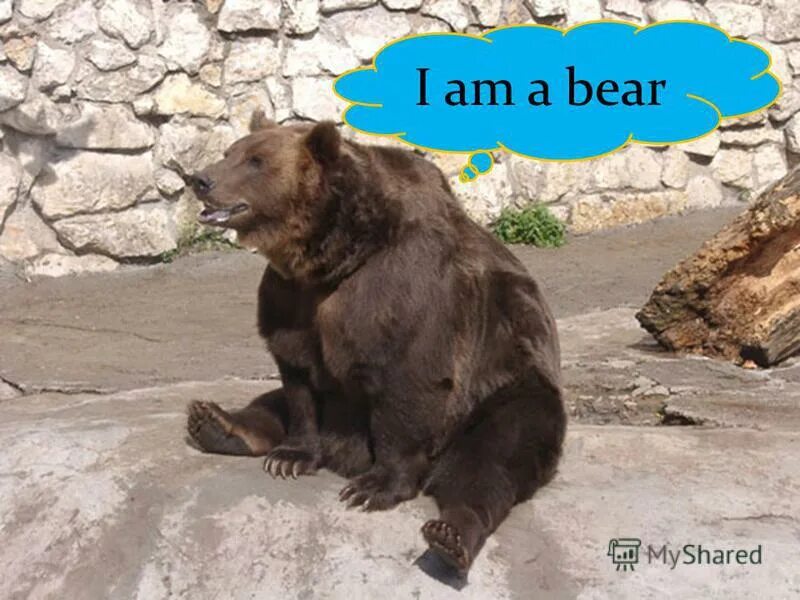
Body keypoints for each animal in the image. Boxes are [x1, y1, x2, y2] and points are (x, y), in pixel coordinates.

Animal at [185, 111, 566, 577]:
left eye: (256, 161)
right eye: (230, 152)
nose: (200, 178)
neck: (330, 256)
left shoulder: (401, 289)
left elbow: (406, 385)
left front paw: (373, 486)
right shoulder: (290, 300)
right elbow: (297, 381)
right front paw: (289, 457)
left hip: (508, 392)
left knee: (490, 463)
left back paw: (451, 535)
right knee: (269, 402)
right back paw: (217, 423)